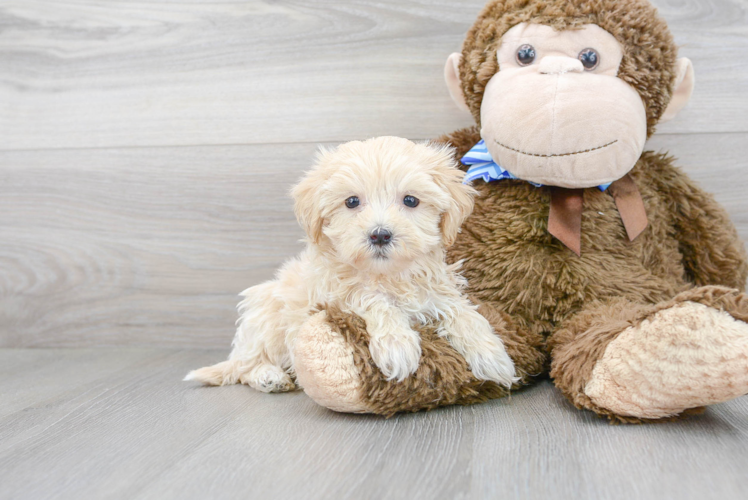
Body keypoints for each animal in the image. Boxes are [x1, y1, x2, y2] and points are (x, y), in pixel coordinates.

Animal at [184, 136, 516, 390]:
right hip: (265, 315)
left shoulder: (438, 291)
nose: (380, 235)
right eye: (352, 202)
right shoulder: (334, 294)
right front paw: (397, 344)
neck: (387, 275)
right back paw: (269, 376)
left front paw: (493, 356)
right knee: (246, 366)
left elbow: (464, 313)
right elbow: (373, 300)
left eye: (410, 200)